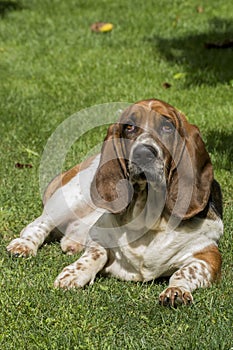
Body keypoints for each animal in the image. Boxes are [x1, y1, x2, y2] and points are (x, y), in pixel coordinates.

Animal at [6, 98, 223, 306]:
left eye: (167, 127)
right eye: (129, 127)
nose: (143, 153)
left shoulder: (208, 254)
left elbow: (186, 272)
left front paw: (176, 291)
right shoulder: (98, 238)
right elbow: (95, 254)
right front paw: (73, 273)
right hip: (71, 198)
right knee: (40, 223)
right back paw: (24, 245)